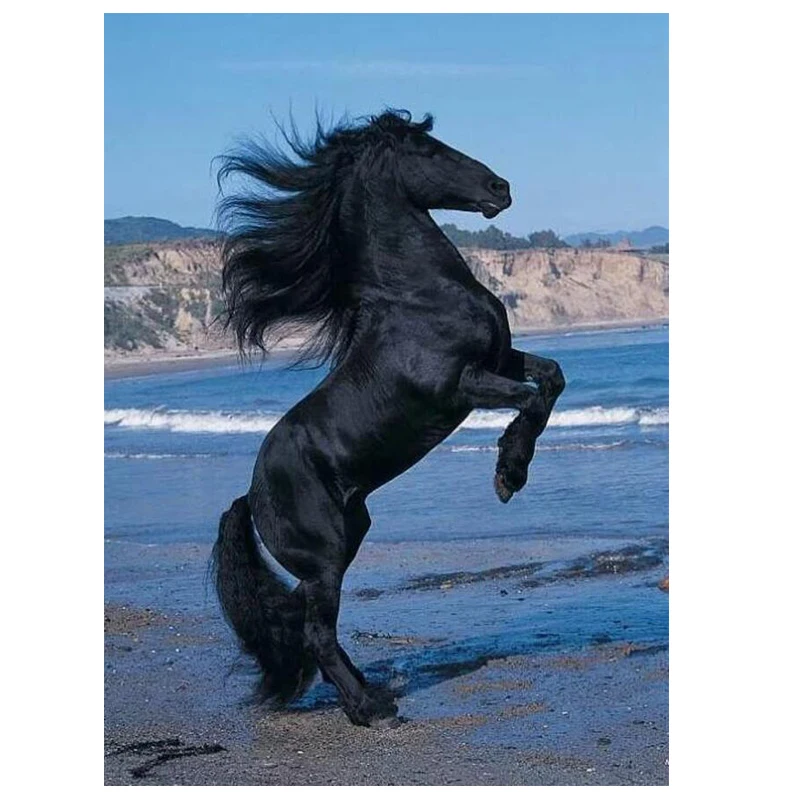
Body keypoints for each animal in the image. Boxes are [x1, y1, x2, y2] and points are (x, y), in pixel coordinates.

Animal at [211, 110, 566, 728]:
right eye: (427, 150)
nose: (500, 188)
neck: (417, 296)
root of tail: (251, 497)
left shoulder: (499, 360)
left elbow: (552, 380)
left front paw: (512, 472)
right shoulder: (461, 386)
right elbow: (529, 400)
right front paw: (508, 475)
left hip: (346, 541)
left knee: (308, 628)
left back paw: (370, 693)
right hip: (326, 557)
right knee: (316, 633)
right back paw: (370, 709)